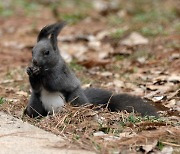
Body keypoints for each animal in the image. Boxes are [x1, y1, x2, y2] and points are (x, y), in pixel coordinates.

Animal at [24, 22, 159, 118]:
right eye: (32, 51)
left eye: (47, 52)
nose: (35, 62)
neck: (49, 66)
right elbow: (36, 86)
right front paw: (30, 71)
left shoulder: (62, 74)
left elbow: (54, 84)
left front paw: (40, 73)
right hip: (35, 100)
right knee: (36, 112)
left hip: (75, 98)